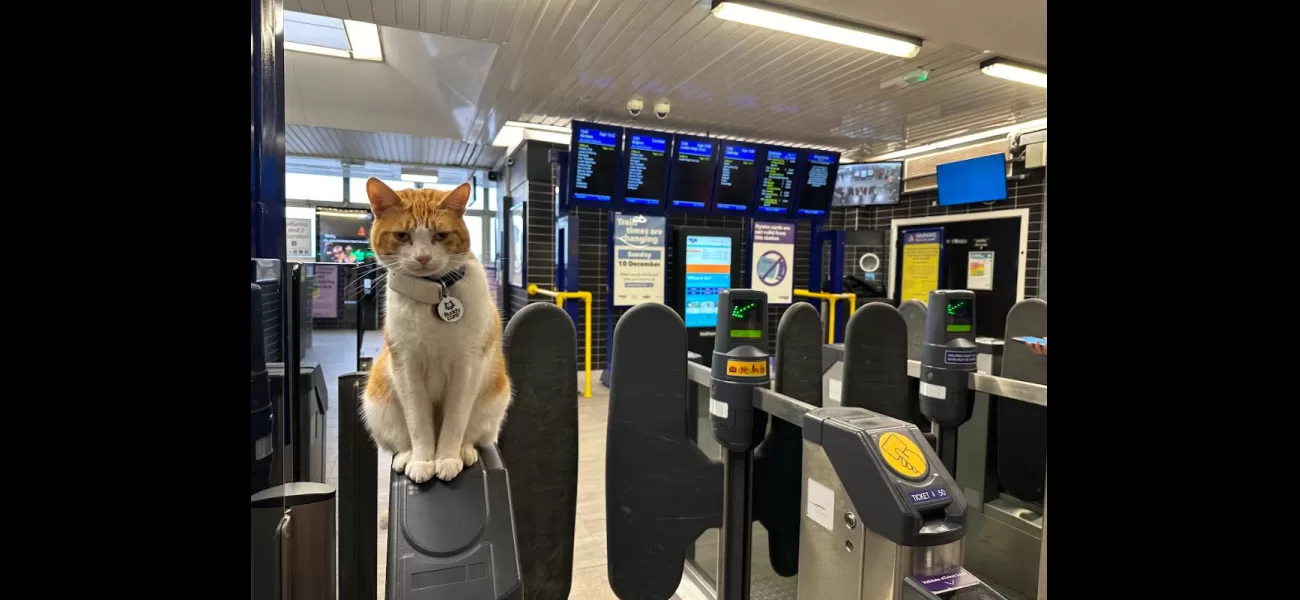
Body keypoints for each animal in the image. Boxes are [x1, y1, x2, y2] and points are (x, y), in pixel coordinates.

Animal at [364, 176, 514, 483]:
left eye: (441, 236)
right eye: (402, 236)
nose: (422, 257)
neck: (434, 292)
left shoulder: (467, 365)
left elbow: (455, 420)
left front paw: (446, 457)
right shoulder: (406, 365)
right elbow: (418, 423)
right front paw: (423, 460)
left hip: (495, 396)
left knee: (473, 432)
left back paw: (465, 451)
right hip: (378, 399)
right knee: (400, 438)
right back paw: (407, 455)